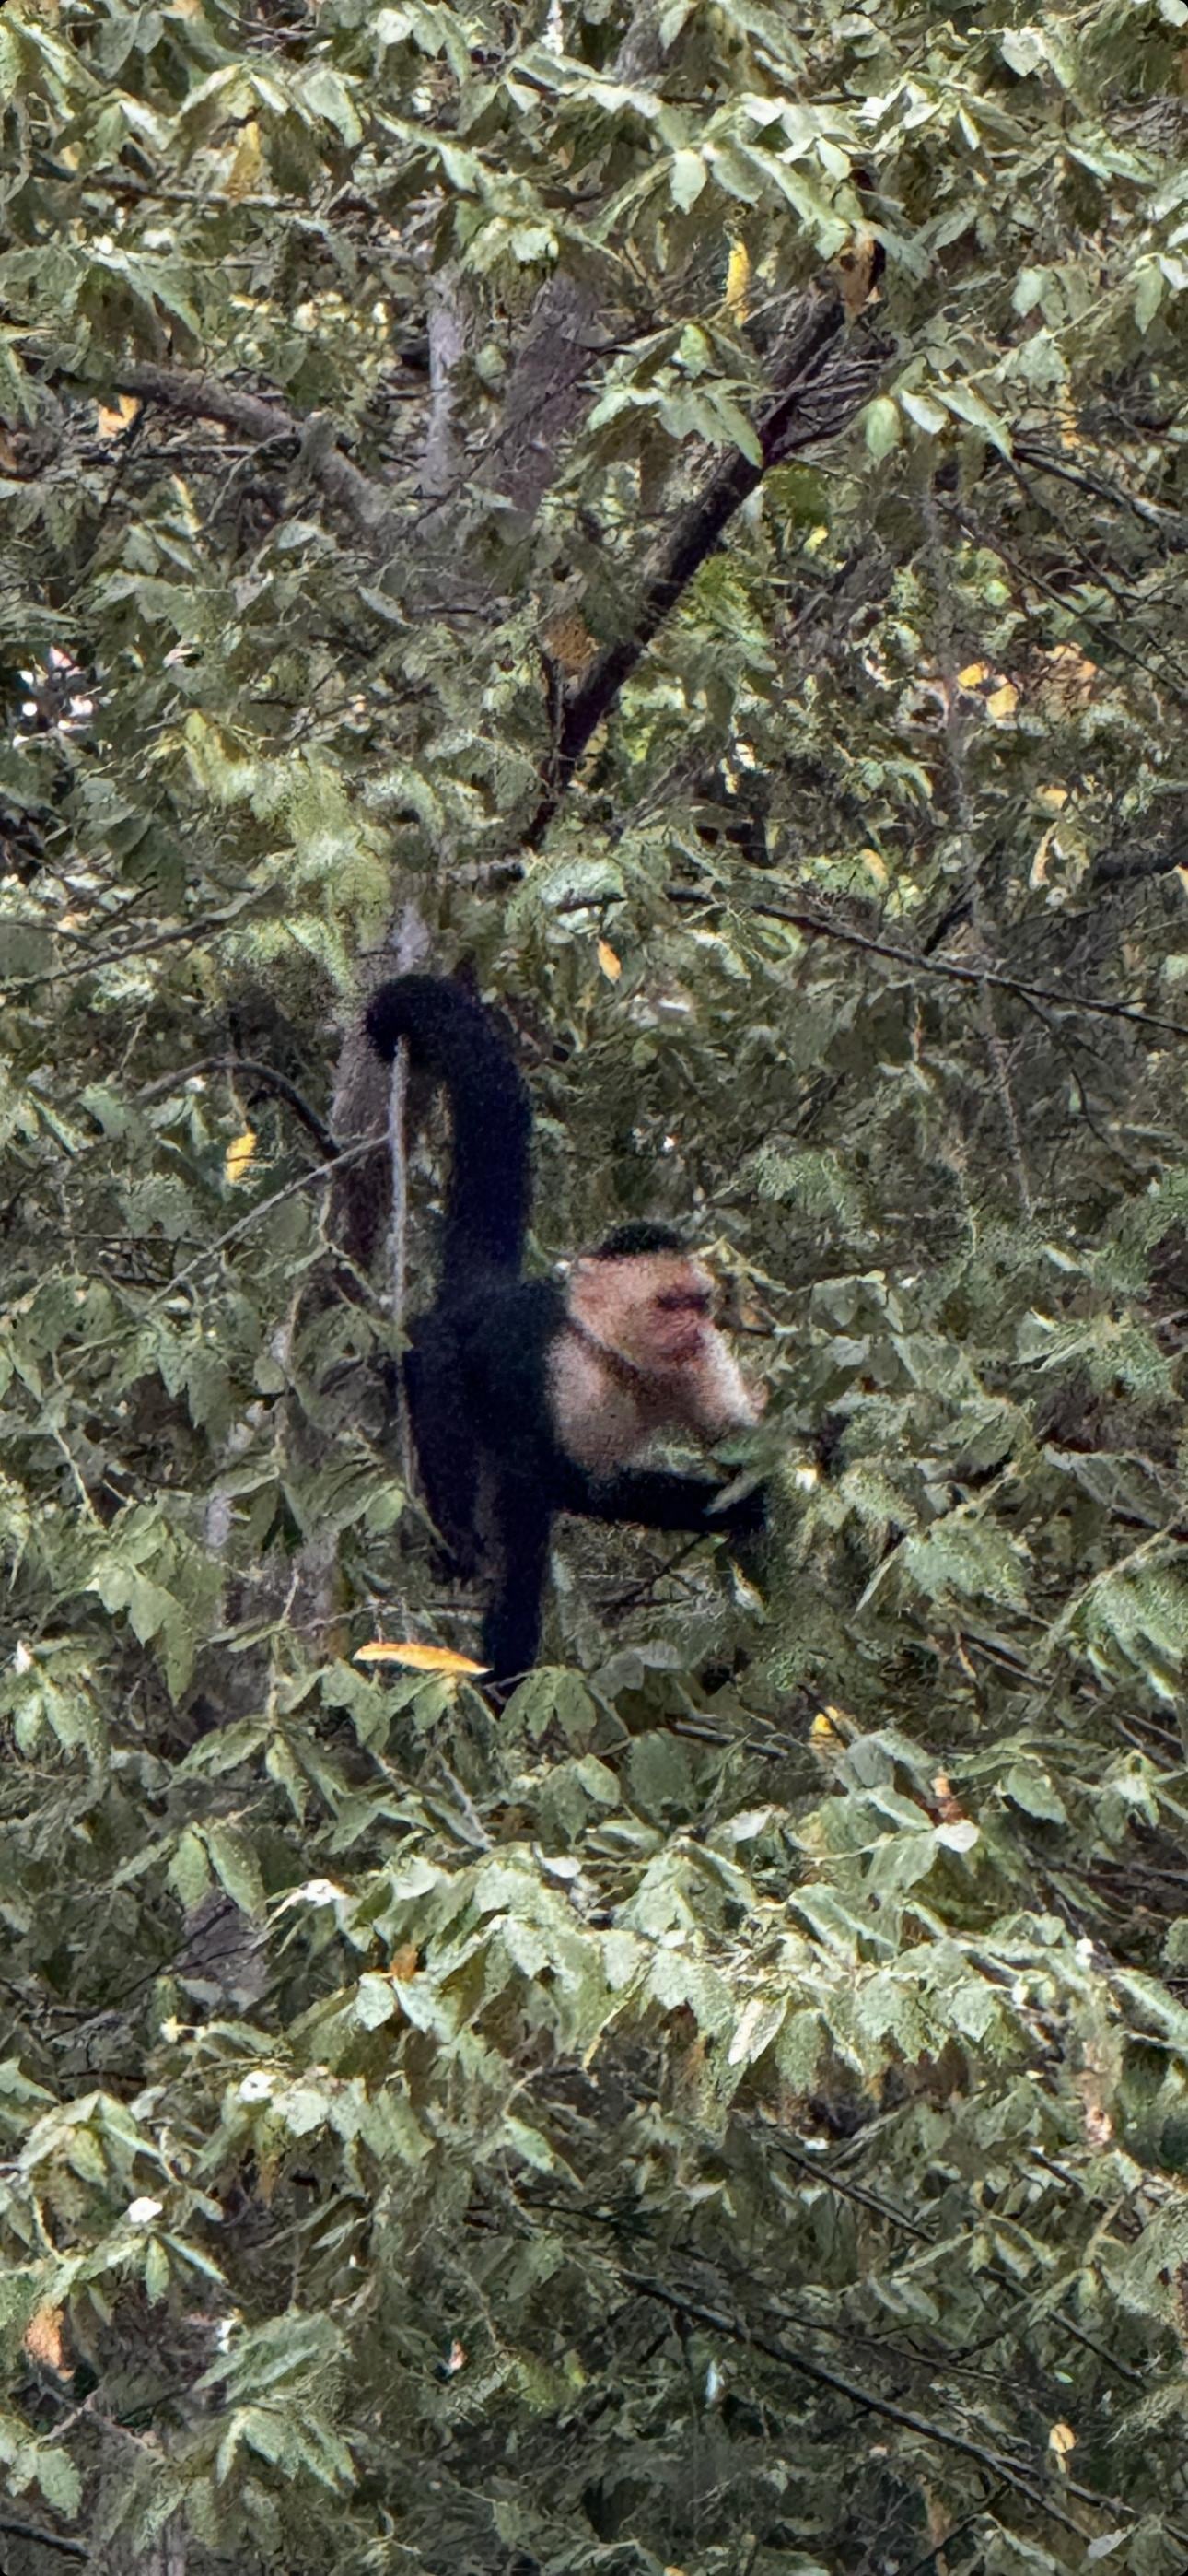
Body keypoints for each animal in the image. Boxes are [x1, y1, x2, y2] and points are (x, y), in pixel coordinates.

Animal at [365, 975, 768, 1694]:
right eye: (669, 1303)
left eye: (699, 1303)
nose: (698, 1325)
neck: (617, 1358)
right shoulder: (544, 1351)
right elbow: (570, 1482)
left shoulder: (700, 1364)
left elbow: (738, 1457)